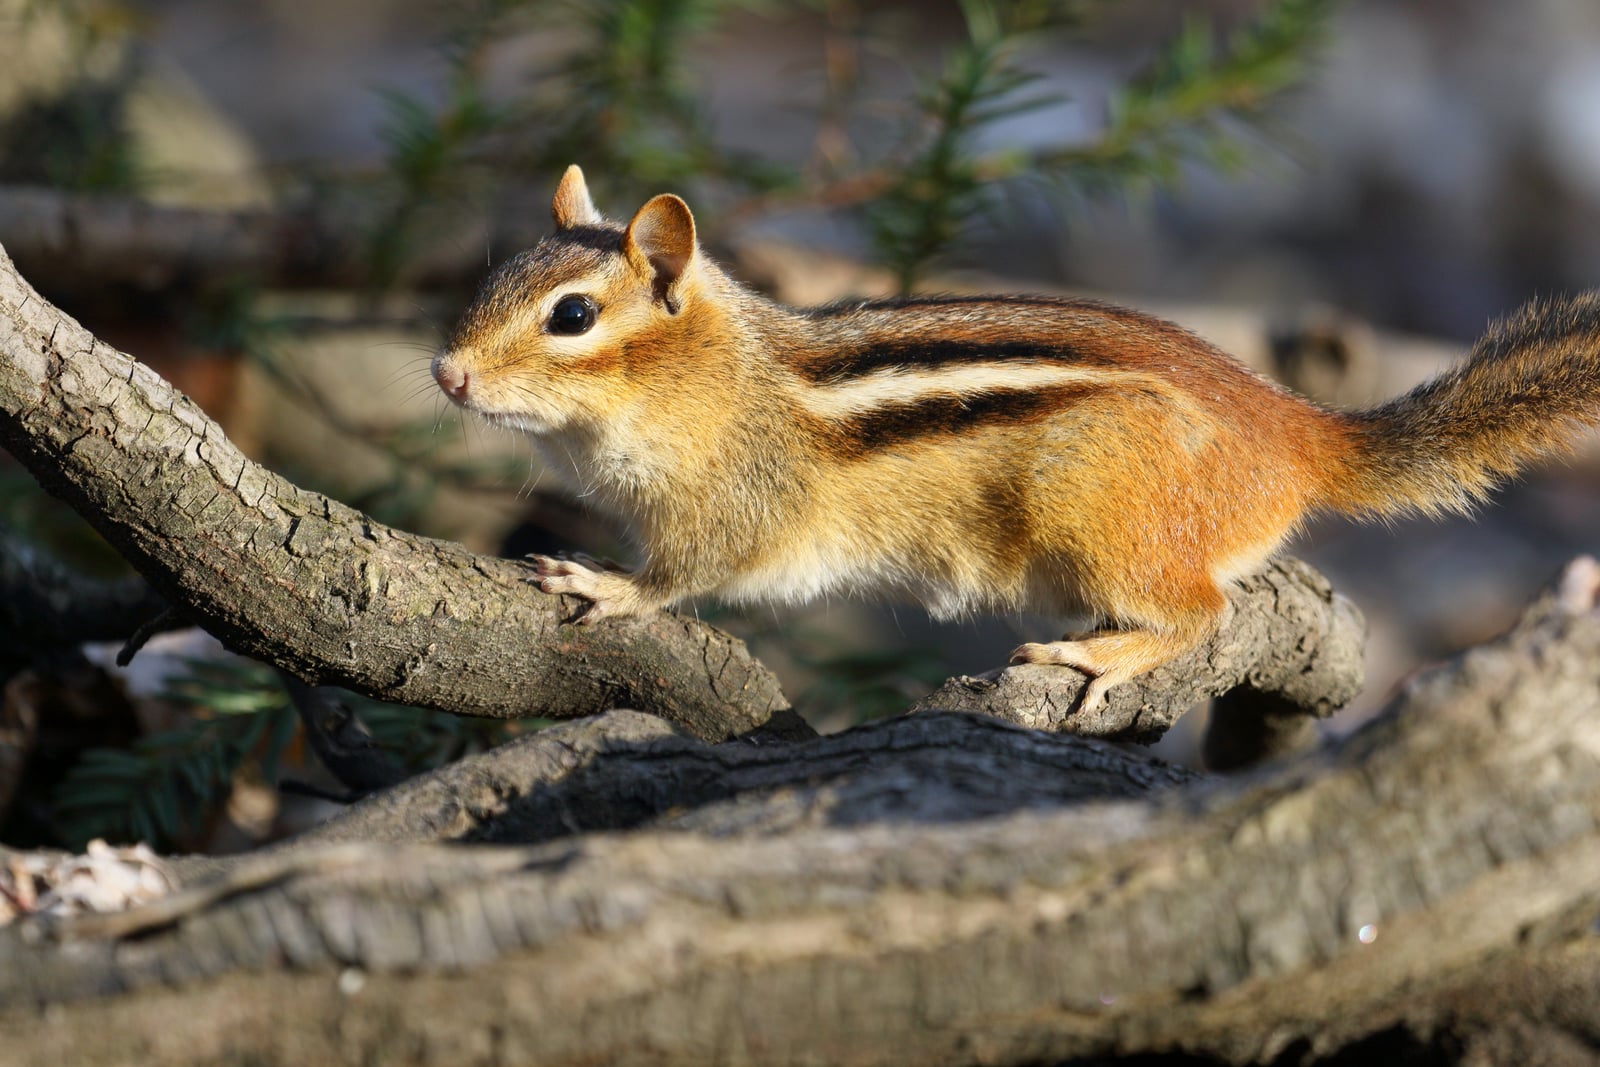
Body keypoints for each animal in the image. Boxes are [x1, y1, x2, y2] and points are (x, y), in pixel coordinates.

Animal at [433, 164, 1600, 711]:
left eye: (572, 315)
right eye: (493, 279)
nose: (446, 374)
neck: (718, 381)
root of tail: (1302, 431)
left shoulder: (737, 501)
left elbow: (684, 572)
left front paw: (605, 583)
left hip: (1096, 509)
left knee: (1204, 611)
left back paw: (1105, 647)